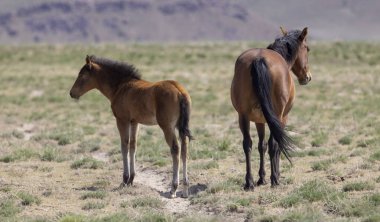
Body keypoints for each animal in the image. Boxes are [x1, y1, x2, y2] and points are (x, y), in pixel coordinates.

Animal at [70, 55, 193, 198]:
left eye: (82, 75)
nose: (72, 93)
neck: (120, 86)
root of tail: (180, 92)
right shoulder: (134, 122)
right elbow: (133, 145)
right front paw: (131, 179)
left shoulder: (122, 120)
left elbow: (124, 146)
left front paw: (124, 180)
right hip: (180, 126)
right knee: (184, 149)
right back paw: (185, 189)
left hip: (167, 126)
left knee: (175, 149)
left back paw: (173, 188)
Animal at [230, 27, 310, 189]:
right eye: (307, 48)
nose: (307, 77)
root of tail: (259, 59)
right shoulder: (283, 118)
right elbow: (276, 144)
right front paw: (275, 175)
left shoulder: (259, 120)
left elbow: (262, 145)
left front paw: (261, 178)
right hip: (277, 115)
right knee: (274, 143)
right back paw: (275, 179)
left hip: (243, 116)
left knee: (247, 144)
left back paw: (249, 182)